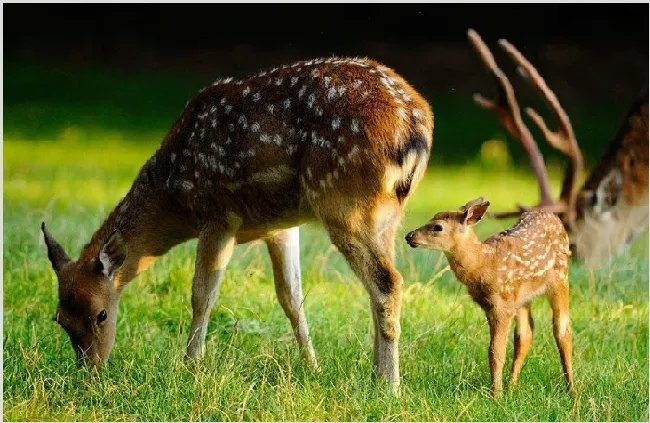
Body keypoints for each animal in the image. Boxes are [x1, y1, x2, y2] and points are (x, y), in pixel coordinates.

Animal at [43, 55, 432, 390]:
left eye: (101, 314)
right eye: (59, 319)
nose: (90, 369)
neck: (174, 195)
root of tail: (414, 126)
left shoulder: (218, 214)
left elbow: (202, 295)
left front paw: (190, 366)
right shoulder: (280, 226)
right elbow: (291, 299)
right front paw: (312, 367)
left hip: (343, 202)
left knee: (387, 282)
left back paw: (389, 386)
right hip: (385, 215)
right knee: (381, 283)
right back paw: (376, 374)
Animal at [404, 198, 572, 398]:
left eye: (438, 227)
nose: (409, 236)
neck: (484, 265)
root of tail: (553, 217)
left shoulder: (502, 307)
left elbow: (496, 352)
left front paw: (495, 395)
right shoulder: (491, 306)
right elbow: (495, 349)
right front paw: (500, 391)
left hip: (560, 277)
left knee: (562, 329)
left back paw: (572, 389)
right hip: (522, 298)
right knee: (525, 335)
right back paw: (512, 387)